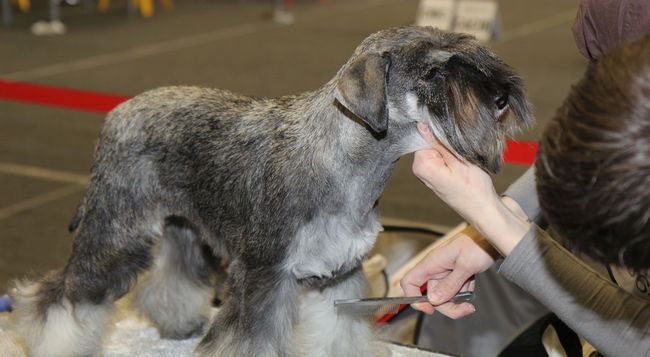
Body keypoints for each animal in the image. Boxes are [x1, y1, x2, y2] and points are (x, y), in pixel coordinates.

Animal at [11, 26, 532, 354]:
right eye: (432, 73)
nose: (502, 98)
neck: (343, 160)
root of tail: (118, 112)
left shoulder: (338, 276)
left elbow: (339, 332)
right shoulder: (262, 278)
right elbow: (250, 341)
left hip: (184, 227)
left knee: (171, 277)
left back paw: (178, 322)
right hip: (116, 234)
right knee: (63, 294)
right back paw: (47, 340)